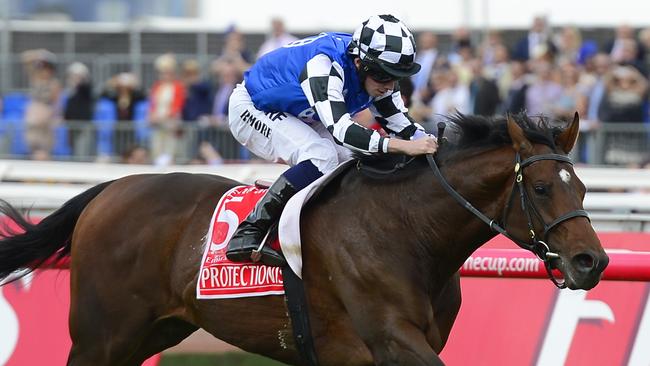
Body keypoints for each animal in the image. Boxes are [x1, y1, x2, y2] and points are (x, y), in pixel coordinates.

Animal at [0, 113, 608, 364]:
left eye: (581, 187)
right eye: (539, 187)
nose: (591, 261)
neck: (409, 232)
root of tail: (108, 191)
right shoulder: (385, 340)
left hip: (152, 332)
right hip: (101, 337)